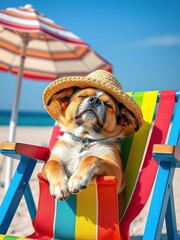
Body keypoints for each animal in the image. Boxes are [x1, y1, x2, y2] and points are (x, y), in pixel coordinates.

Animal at [42, 86, 139, 216]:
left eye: (108, 104)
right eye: (82, 96)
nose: (95, 100)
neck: (84, 140)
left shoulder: (117, 173)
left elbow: (91, 157)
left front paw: (77, 179)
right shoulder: (54, 158)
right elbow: (53, 163)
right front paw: (59, 186)